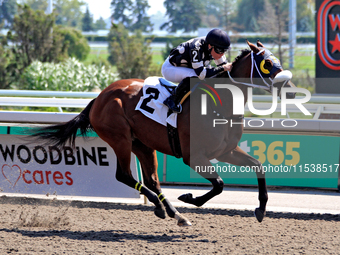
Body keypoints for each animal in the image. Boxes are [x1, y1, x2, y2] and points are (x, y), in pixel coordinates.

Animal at [29, 40, 294, 226]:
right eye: (267, 63)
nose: (290, 88)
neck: (222, 103)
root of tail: (100, 97)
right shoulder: (193, 156)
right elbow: (219, 184)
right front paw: (189, 198)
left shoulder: (226, 151)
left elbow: (258, 166)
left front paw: (261, 209)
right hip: (120, 139)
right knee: (124, 175)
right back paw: (163, 207)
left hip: (142, 144)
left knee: (152, 180)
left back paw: (174, 214)